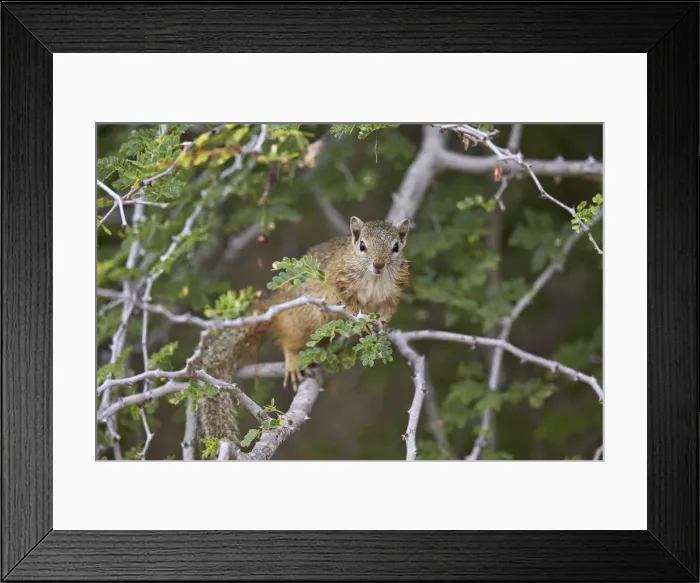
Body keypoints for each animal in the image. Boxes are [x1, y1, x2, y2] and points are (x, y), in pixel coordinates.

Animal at [194, 215, 411, 449]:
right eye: (362, 245)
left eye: (396, 247)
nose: (379, 265)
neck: (375, 279)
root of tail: (276, 303)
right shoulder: (338, 278)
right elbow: (348, 303)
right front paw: (363, 321)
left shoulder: (394, 291)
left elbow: (387, 310)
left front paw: (382, 325)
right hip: (302, 320)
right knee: (288, 341)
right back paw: (292, 360)